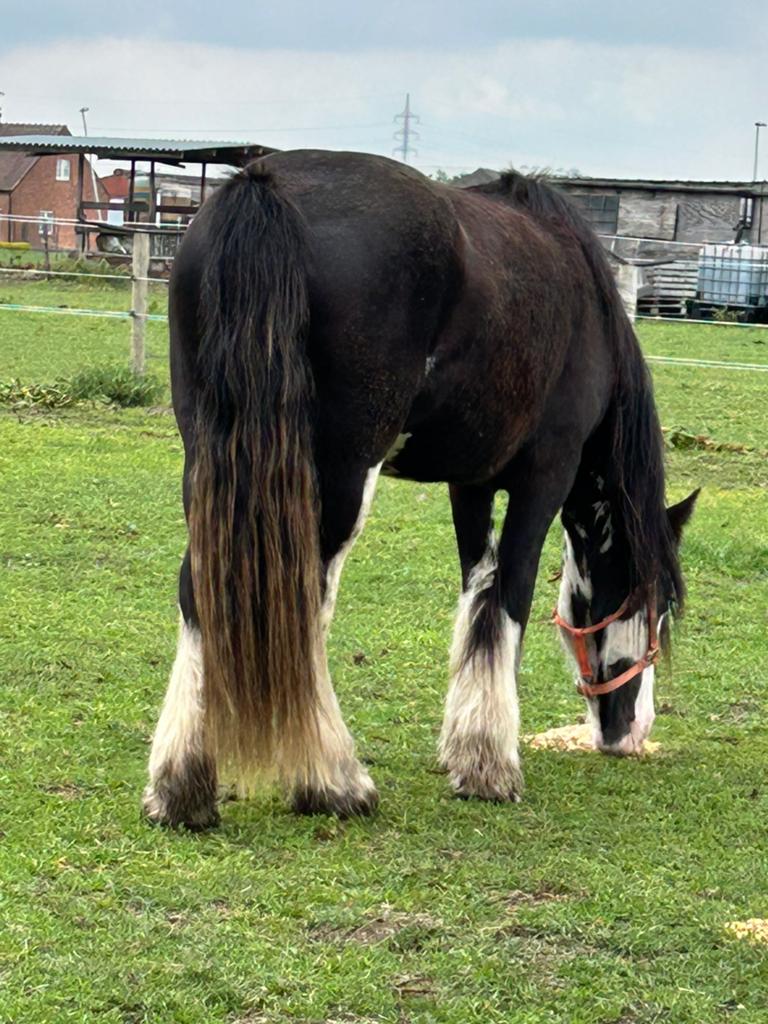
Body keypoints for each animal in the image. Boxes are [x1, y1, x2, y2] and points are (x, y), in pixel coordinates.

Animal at [142, 150, 698, 828]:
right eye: (657, 604)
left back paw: (181, 788)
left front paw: (466, 751)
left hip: (213, 464)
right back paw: (331, 783)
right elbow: (507, 600)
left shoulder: (472, 484)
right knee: (306, 602)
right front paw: (491, 767)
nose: (630, 732)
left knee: (201, 591)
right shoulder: (544, 477)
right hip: (337, 478)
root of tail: (262, 186)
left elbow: (478, 592)